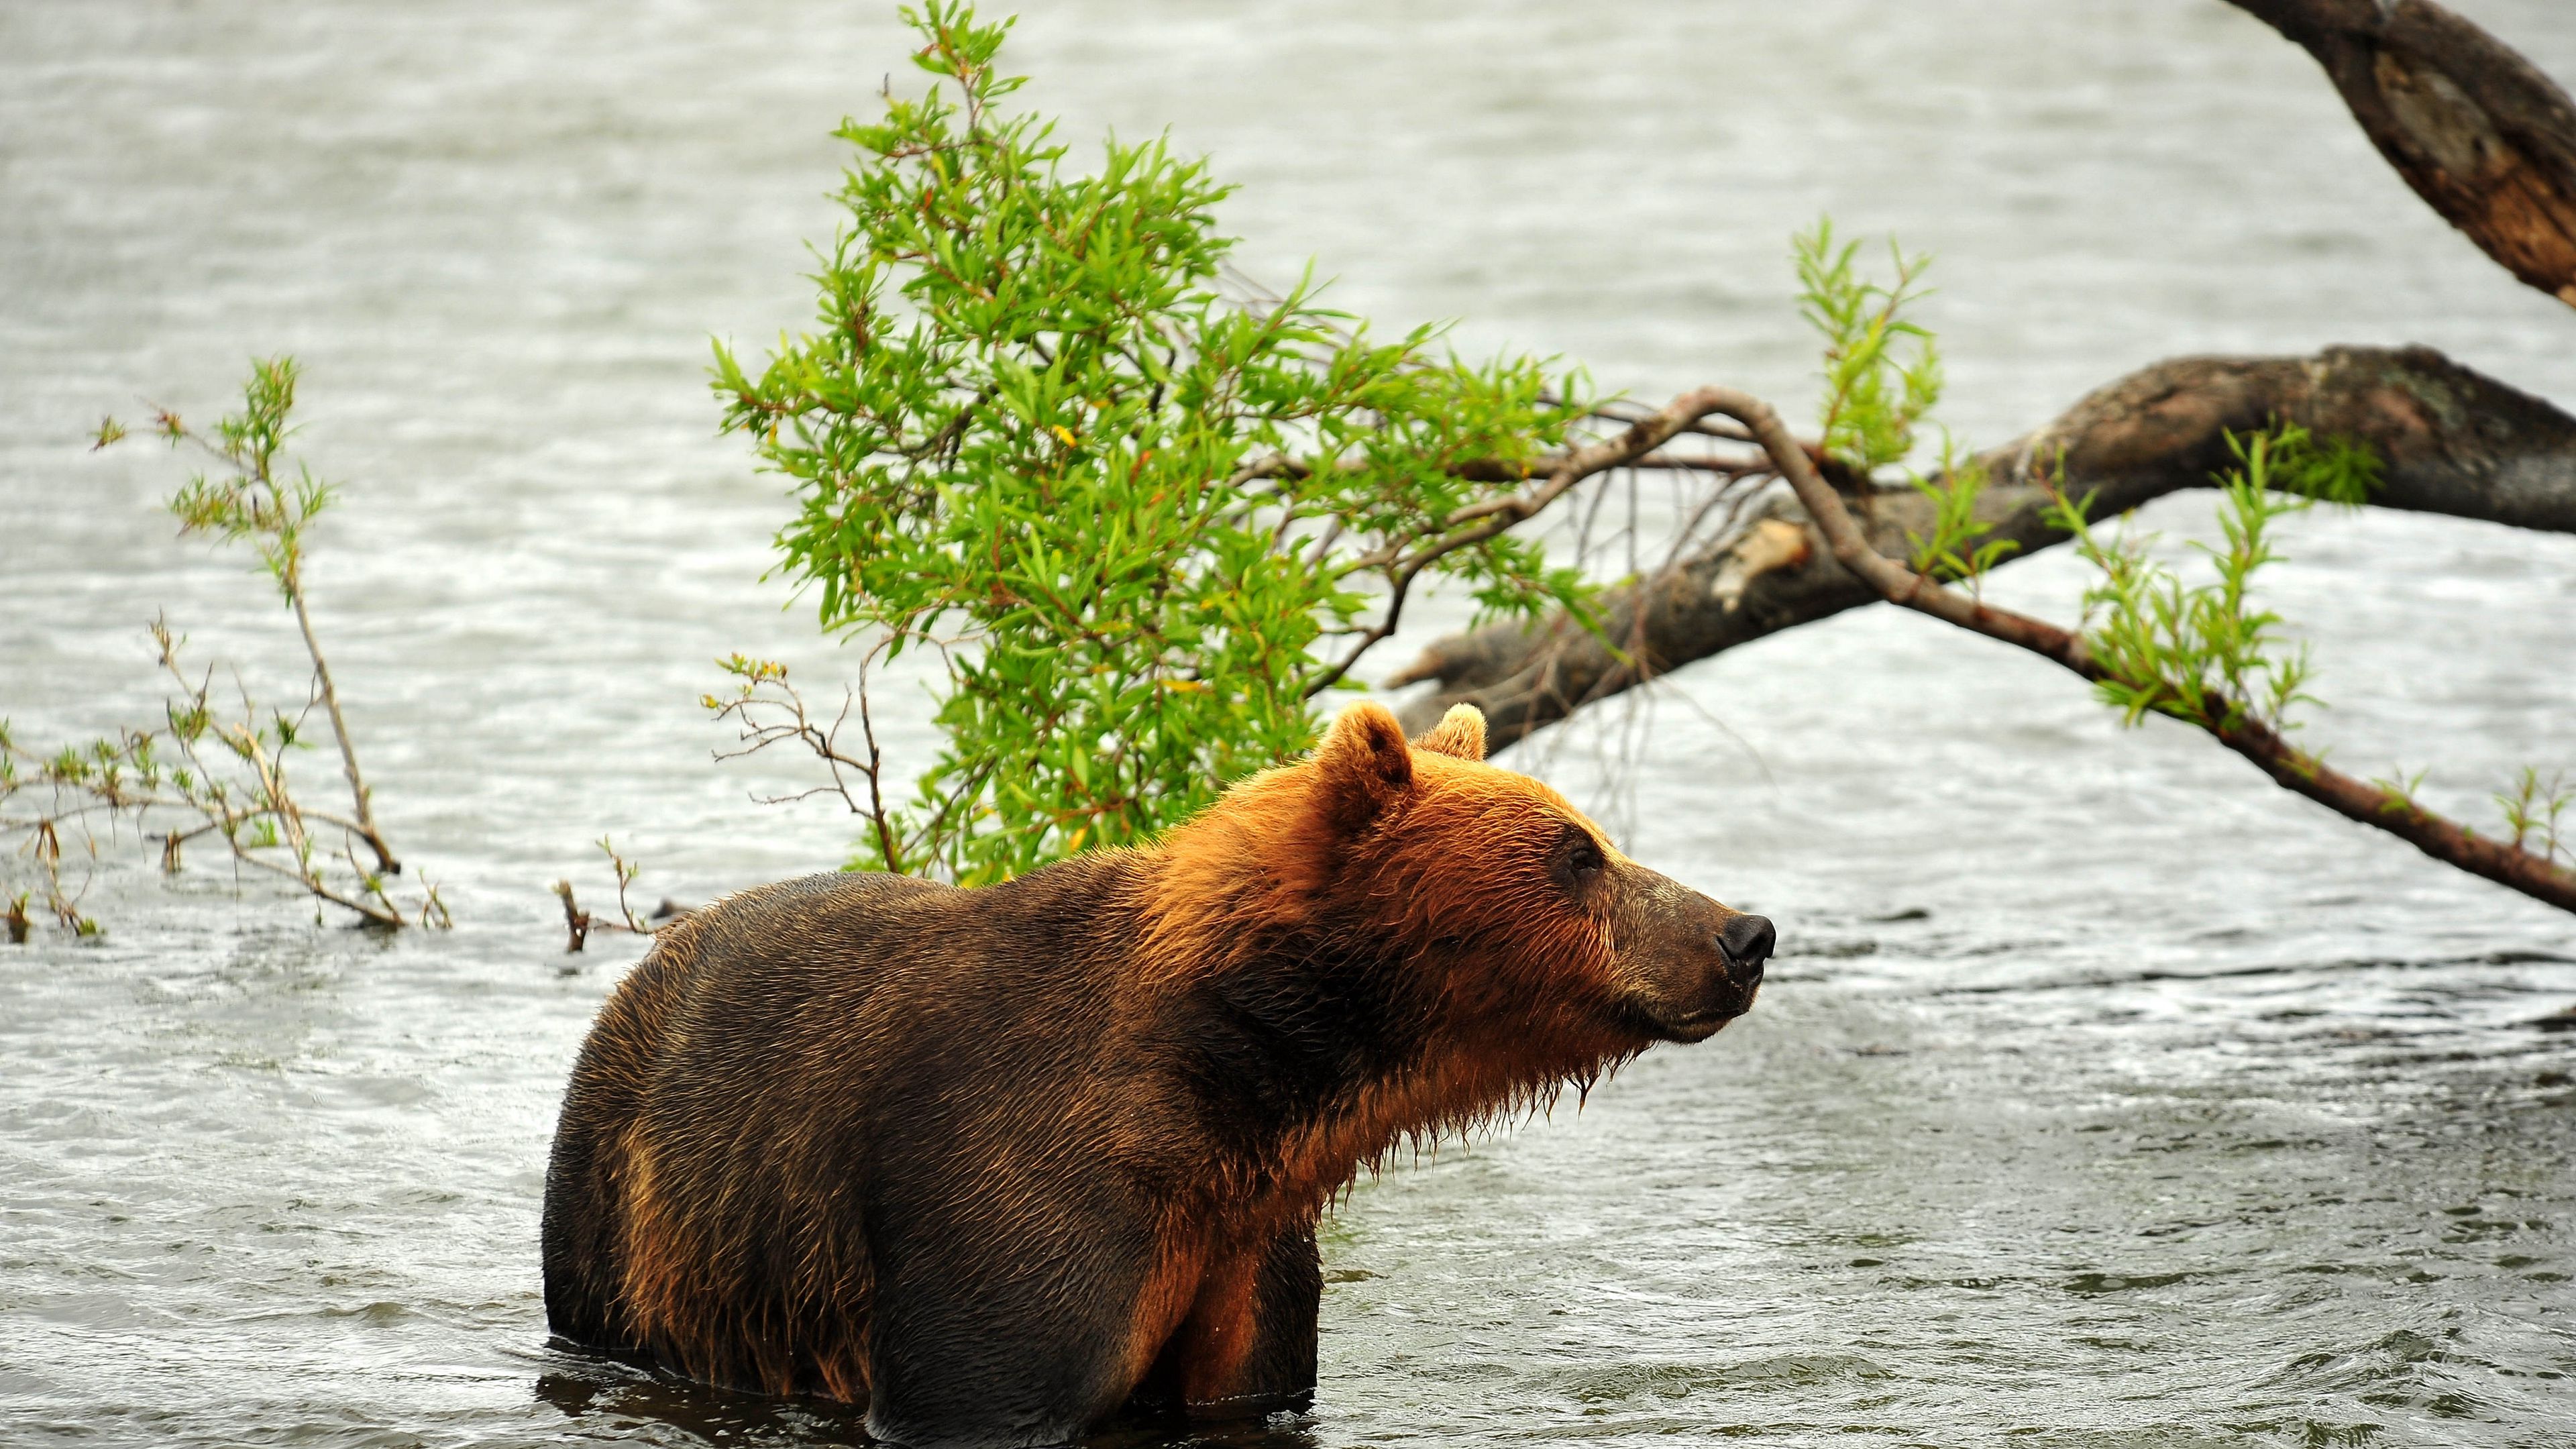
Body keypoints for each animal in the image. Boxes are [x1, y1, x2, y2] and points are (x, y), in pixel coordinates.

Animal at [540, 700, 1773, 1448]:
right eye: (1579, 854)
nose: (1742, 933)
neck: (1233, 1079)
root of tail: (654, 958)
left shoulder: (1245, 1246)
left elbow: (1249, 1375)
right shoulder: (1009, 1194)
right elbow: (989, 1375)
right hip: (623, 1206)